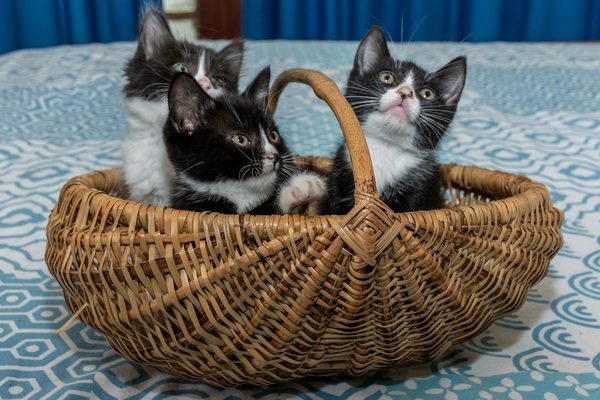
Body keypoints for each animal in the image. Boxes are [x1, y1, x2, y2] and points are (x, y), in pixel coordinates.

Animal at [164, 67, 326, 214]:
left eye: (273, 135)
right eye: (241, 139)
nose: (275, 156)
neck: (240, 195)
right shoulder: (194, 207)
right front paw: (298, 188)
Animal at [322, 25, 466, 216]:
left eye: (427, 93)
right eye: (387, 77)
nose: (405, 92)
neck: (385, 147)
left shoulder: (421, 189)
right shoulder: (340, 173)